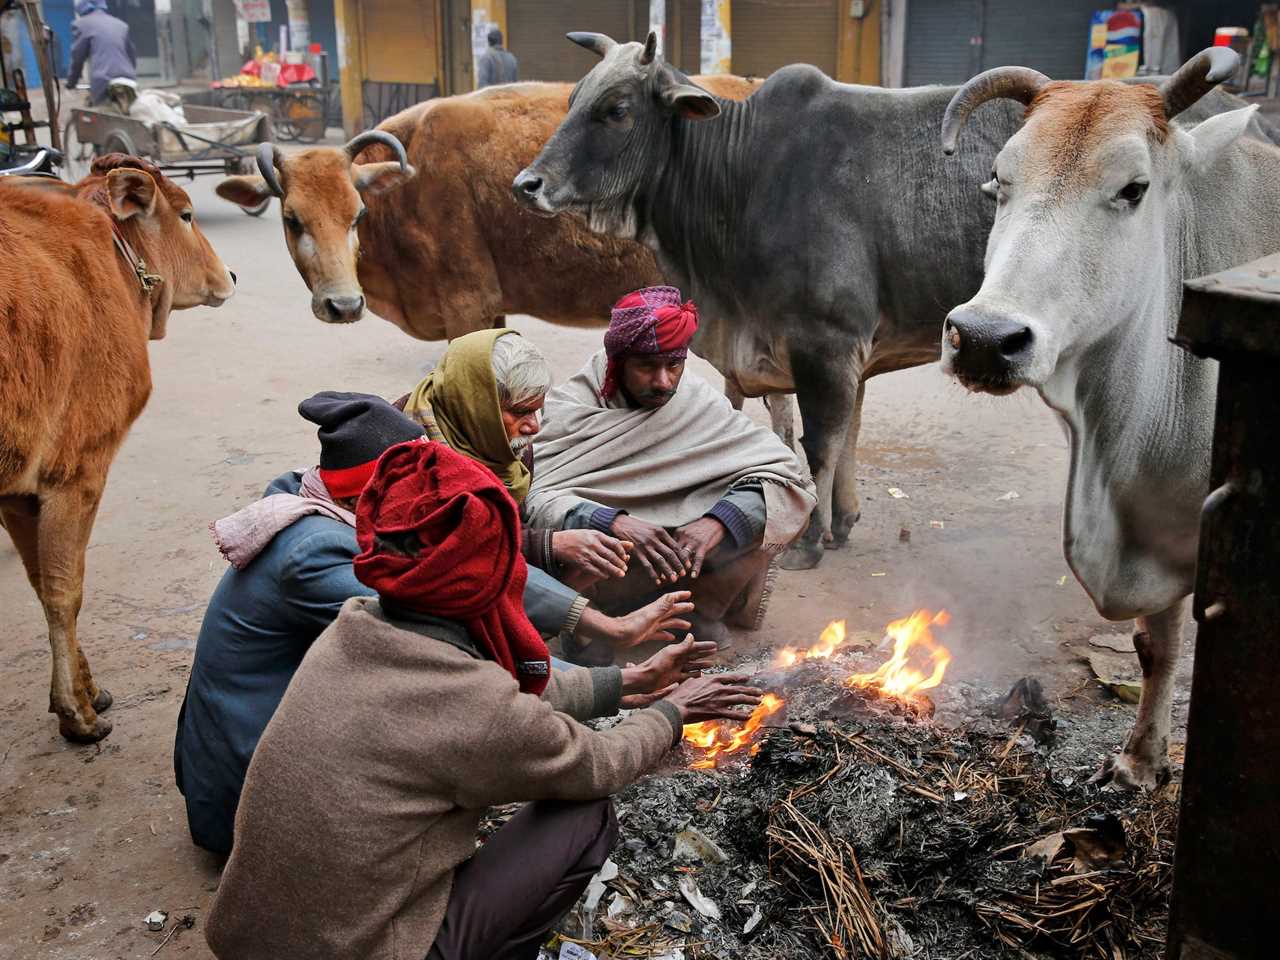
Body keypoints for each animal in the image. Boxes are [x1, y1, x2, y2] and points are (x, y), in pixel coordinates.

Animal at [1, 152, 236, 742]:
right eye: (186, 213)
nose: (231, 275)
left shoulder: (16, 492)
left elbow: (40, 583)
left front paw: (85, 692)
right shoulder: (78, 470)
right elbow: (64, 590)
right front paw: (77, 713)